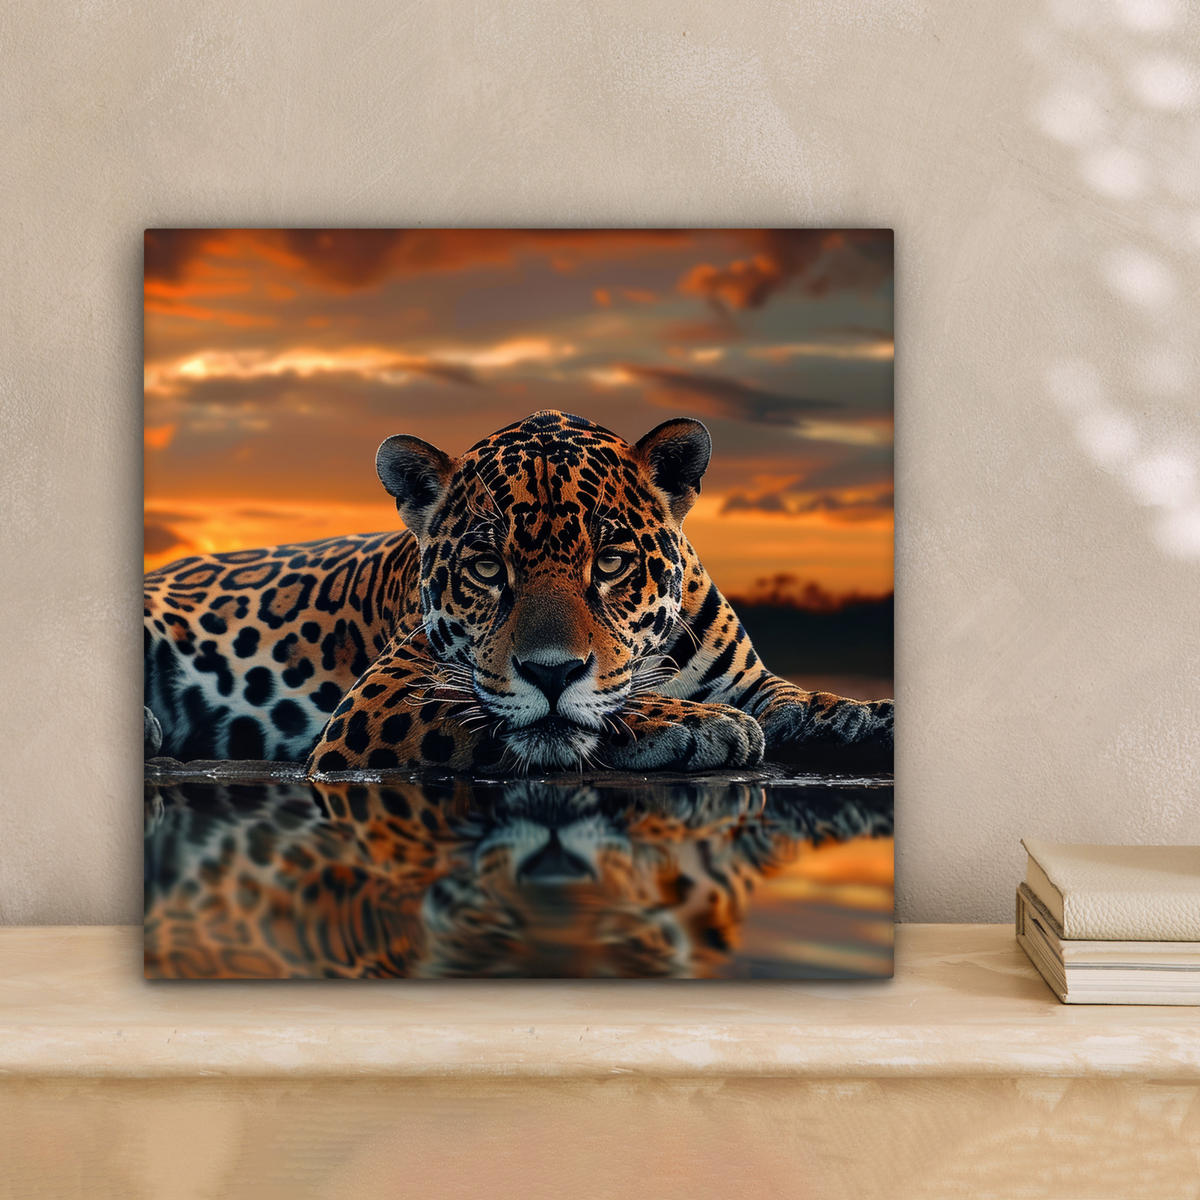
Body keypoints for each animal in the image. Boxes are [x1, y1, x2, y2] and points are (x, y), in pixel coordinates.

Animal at [144, 410, 892, 775]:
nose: (551, 672)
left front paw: (868, 717)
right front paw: (699, 724)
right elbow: (558, 716)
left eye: (610, 561)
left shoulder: (752, 681)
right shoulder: (382, 699)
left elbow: (802, 700)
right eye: (486, 568)